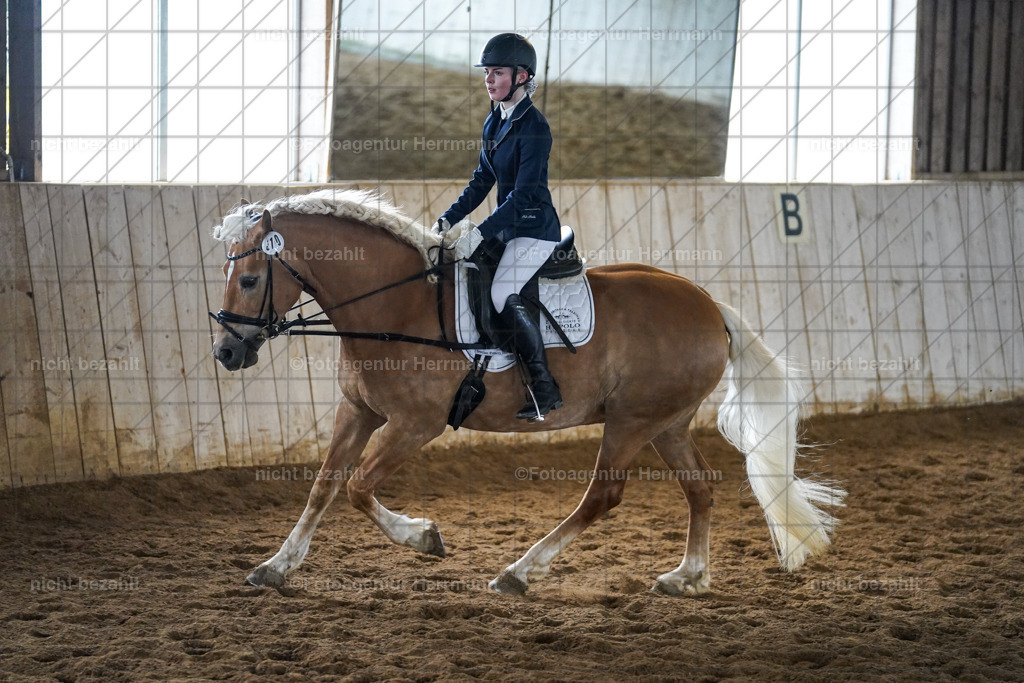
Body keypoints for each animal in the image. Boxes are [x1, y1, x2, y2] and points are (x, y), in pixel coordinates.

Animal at [210, 189, 845, 596]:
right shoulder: (359, 410)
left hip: (632, 421)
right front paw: (276, 567)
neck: (394, 303)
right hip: (666, 422)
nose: (226, 354)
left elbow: (359, 488)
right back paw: (687, 577)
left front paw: (425, 538)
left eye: (250, 279)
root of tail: (710, 305)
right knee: (701, 487)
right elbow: (323, 486)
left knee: (603, 495)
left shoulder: (416, 424)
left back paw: (517, 573)